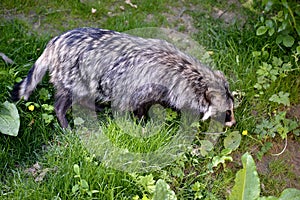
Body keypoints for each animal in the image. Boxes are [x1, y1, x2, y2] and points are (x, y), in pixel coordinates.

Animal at [11, 27, 237, 128]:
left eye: (232, 109)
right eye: (226, 112)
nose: (234, 123)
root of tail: (54, 42)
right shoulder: (143, 87)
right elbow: (135, 107)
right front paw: (142, 122)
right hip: (73, 74)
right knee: (67, 98)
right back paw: (64, 119)